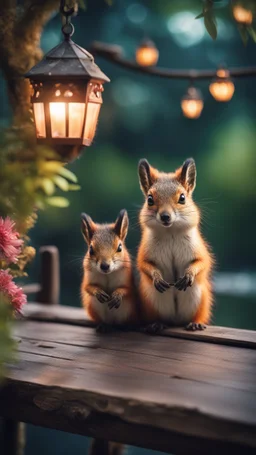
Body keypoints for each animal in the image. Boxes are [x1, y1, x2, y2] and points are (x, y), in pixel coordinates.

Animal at [137, 159, 213, 334]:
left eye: (182, 198)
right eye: (150, 199)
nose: (165, 216)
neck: (170, 232)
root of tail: (176, 320)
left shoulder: (198, 249)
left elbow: (202, 262)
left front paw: (189, 274)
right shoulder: (145, 252)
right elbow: (144, 264)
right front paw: (157, 277)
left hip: (200, 298)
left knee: (197, 315)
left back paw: (195, 323)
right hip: (151, 299)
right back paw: (156, 324)